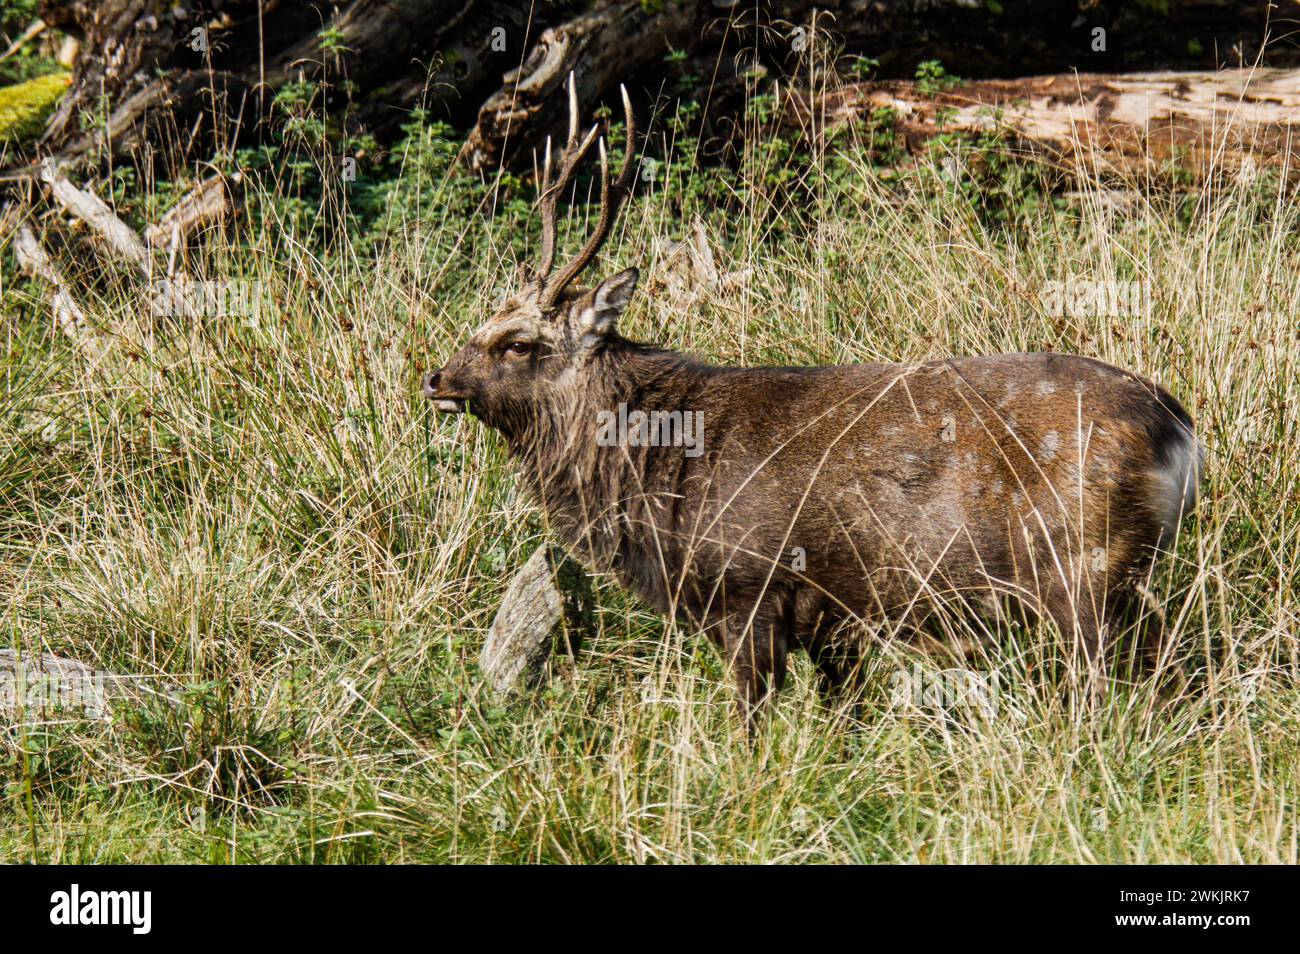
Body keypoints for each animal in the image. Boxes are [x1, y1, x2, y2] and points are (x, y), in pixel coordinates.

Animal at [423, 77, 1202, 729]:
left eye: (518, 343)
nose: (435, 378)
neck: (660, 476)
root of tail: (1179, 433)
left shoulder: (753, 586)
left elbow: (752, 722)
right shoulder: (836, 619)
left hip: (1083, 566)